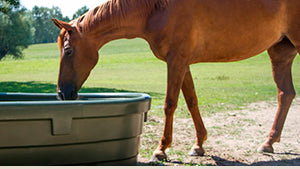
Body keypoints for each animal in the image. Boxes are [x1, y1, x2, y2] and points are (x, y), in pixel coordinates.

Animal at [52, 0, 298, 161]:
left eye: (69, 50)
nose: (62, 93)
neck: (157, 8)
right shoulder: (183, 63)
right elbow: (192, 101)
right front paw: (199, 145)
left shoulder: (176, 61)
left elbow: (170, 104)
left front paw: (161, 149)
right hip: (280, 53)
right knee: (285, 95)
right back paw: (268, 142)